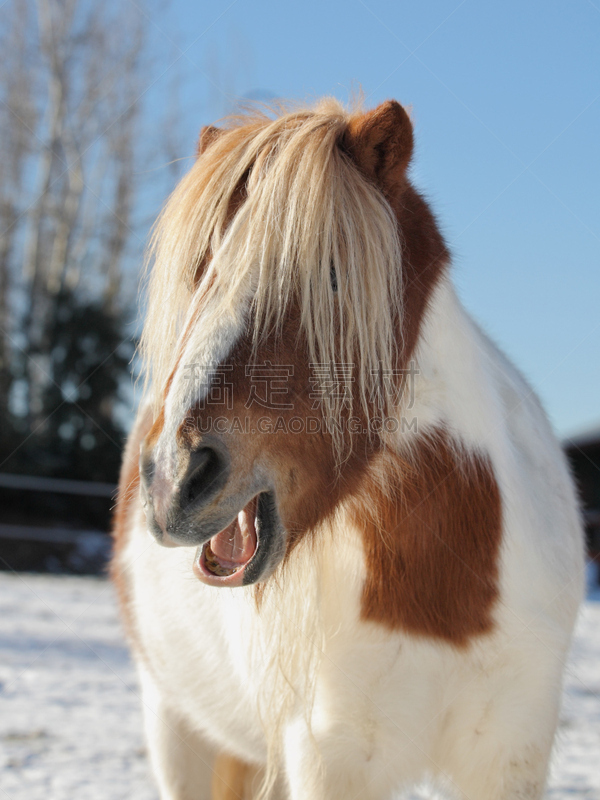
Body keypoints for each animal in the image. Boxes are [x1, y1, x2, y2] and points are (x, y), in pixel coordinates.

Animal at [110, 98, 584, 800]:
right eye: (201, 271)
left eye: (330, 276)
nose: (173, 479)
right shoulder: (330, 754)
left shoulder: (510, 753)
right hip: (175, 727)